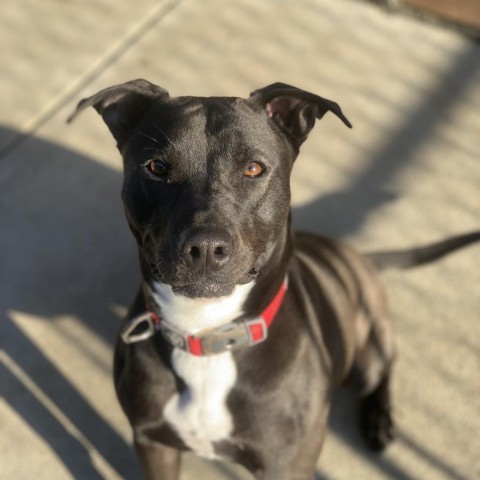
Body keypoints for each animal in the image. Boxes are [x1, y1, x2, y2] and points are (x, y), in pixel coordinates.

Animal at [68, 80, 480, 478]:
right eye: (156, 167)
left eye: (253, 168)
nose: (205, 247)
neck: (207, 336)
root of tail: (354, 254)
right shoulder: (153, 442)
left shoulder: (287, 464)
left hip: (366, 356)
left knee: (385, 367)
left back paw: (378, 420)